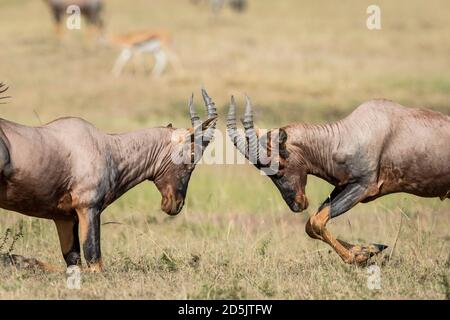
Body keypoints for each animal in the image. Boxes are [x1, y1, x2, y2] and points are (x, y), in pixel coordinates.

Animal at [0, 85, 218, 272]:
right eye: (192, 157)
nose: (175, 204)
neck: (106, 145)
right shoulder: (88, 207)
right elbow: (94, 261)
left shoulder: (63, 218)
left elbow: (73, 261)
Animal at [229, 95, 450, 264]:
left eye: (280, 165)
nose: (297, 204)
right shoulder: (342, 186)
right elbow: (311, 223)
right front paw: (370, 250)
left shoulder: (363, 187)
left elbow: (317, 221)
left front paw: (360, 257)